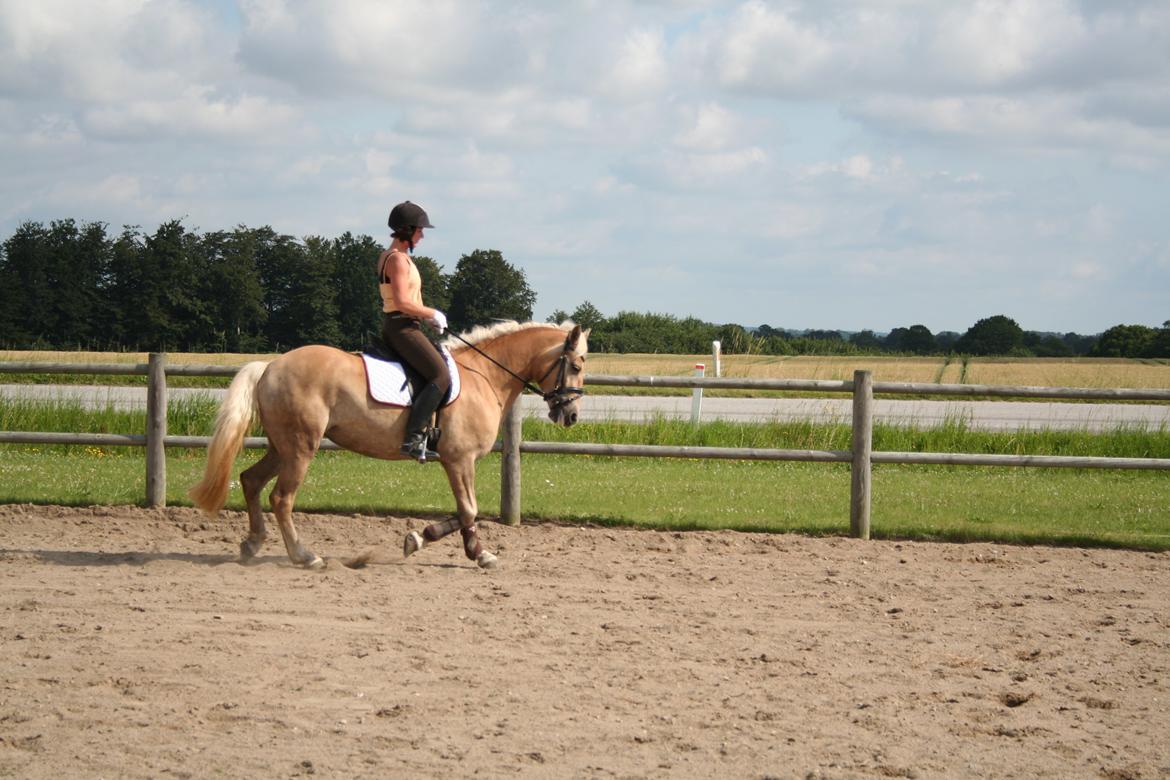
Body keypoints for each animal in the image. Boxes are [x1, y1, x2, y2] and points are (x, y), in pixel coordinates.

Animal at [193, 320, 594, 570]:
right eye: (575, 365)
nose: (572, 416)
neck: (485, 375)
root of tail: (271, 365)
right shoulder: (459, 459)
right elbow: (469, 509)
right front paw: (450, 546)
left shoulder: (457, 461)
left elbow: (466, 511)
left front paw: (450, 545)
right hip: (301, 448)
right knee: (281, 498)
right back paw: (305, 557)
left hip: (282, 447)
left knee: (250, 480)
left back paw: (252, 544)